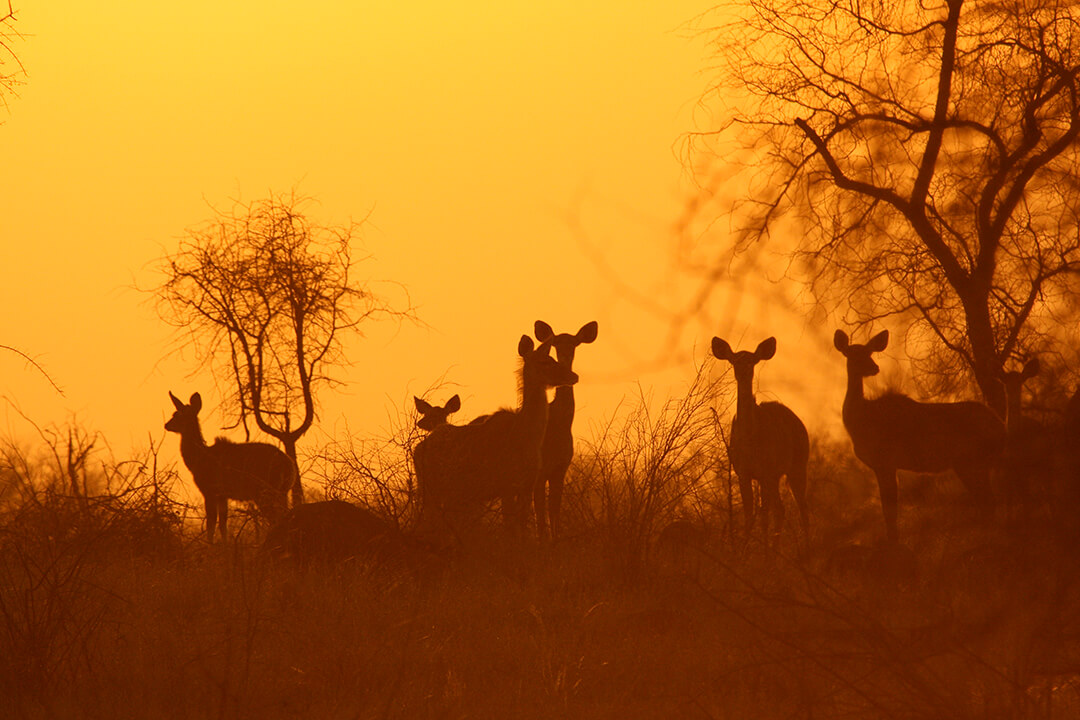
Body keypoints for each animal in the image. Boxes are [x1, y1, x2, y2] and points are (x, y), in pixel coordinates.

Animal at [162, 390, 295, 544]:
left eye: (178, 414)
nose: (166, 425)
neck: (198, 459)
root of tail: (289, 466)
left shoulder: (210, 490)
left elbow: (211, 523)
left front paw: (210, 546)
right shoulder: (222, 495)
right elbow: (223, 524)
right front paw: (225, 546)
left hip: (265, 491)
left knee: (276, 518)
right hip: (281, 492)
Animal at [412, 334, 578, 533]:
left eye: (552, 358)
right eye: (544, 362)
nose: (573, 376)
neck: (527, 436)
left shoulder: (527, 485)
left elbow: (522, 527)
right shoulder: (506, 485)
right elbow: (510, 528)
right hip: (430, 488)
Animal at [533, 317, 600, 537]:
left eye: (574, 344)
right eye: (555, 344)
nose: (570, 374)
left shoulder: (561, 468)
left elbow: (554, 510)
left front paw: (555, 540)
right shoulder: (541, 470)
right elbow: (540, 513)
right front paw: (542, 541)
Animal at [712, 336, 807, 535]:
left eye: (752, 361)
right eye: (734, 361)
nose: (743, 372)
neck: (750, 438)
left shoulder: (766, 470)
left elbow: (763, 515)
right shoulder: (743, 471)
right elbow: (749, 514)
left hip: (798, 465)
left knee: (801, 508)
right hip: (777, 475)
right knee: (781, 509)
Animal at [829, 330, 1006, 539]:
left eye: (869, 353)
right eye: (854, 354)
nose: (875, 367)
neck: (860, 420)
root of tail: (1001, 426)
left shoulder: (885, 462)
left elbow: (890, 510)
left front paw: (893, 541)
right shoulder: (885, 465)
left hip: (970, 461)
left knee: (988, 501)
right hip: (974, 463)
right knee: (986, 501)